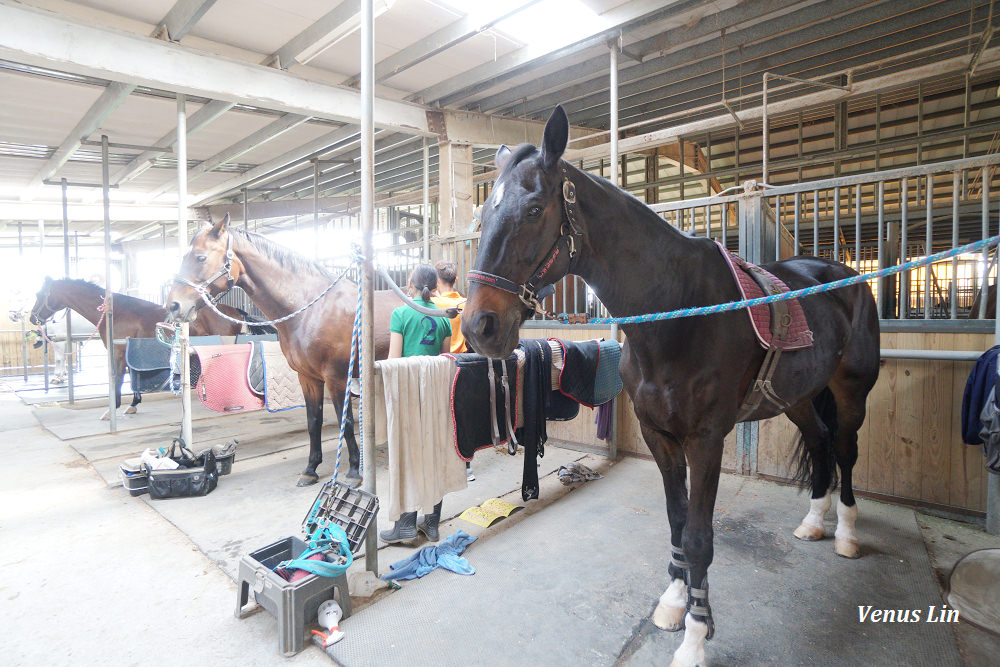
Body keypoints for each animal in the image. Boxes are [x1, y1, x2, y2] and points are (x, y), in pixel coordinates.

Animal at [29, 280, 256, 420]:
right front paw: (133, 405)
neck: (117, 312)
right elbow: (133, 378)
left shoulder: (118, 352)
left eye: (40, 294)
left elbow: (119, 379)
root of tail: (234, 312)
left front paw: (112, 410)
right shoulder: (130, 353)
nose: (32, 317)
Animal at [166, 217, 396, 488]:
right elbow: (313, 421)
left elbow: (346, 421)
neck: (311, 308)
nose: (173, 305)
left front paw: (352, 472)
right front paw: (310, 469)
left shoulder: (337, 377)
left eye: (200, 257)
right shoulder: (308, 378)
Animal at [458, 104, 880, 667]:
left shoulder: (706, 439)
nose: (479, 327)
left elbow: (699, 536)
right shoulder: (659, 435)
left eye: (532, 210)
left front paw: (696, 637)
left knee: (846, 450)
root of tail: (847, 277)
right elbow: (677, 521)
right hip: (799, 397)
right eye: (484, 215)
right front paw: (675, 603)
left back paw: (847, 535)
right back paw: (814, 522)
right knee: (819, 442)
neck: (678, 309)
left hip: (852, 392)